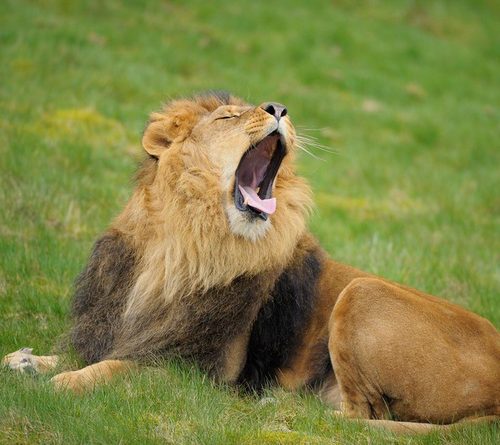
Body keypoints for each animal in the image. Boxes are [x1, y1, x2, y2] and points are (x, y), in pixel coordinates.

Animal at [3, 92, 500, 432]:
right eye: (228, 117)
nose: (278, 107)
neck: (180, 247)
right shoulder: (113, 327)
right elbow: (82, 352)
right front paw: (26, 361)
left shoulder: (200, 371)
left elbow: (117, 368)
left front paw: (65, 383)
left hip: (363, 291)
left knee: (363, 416)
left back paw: (281, 407)